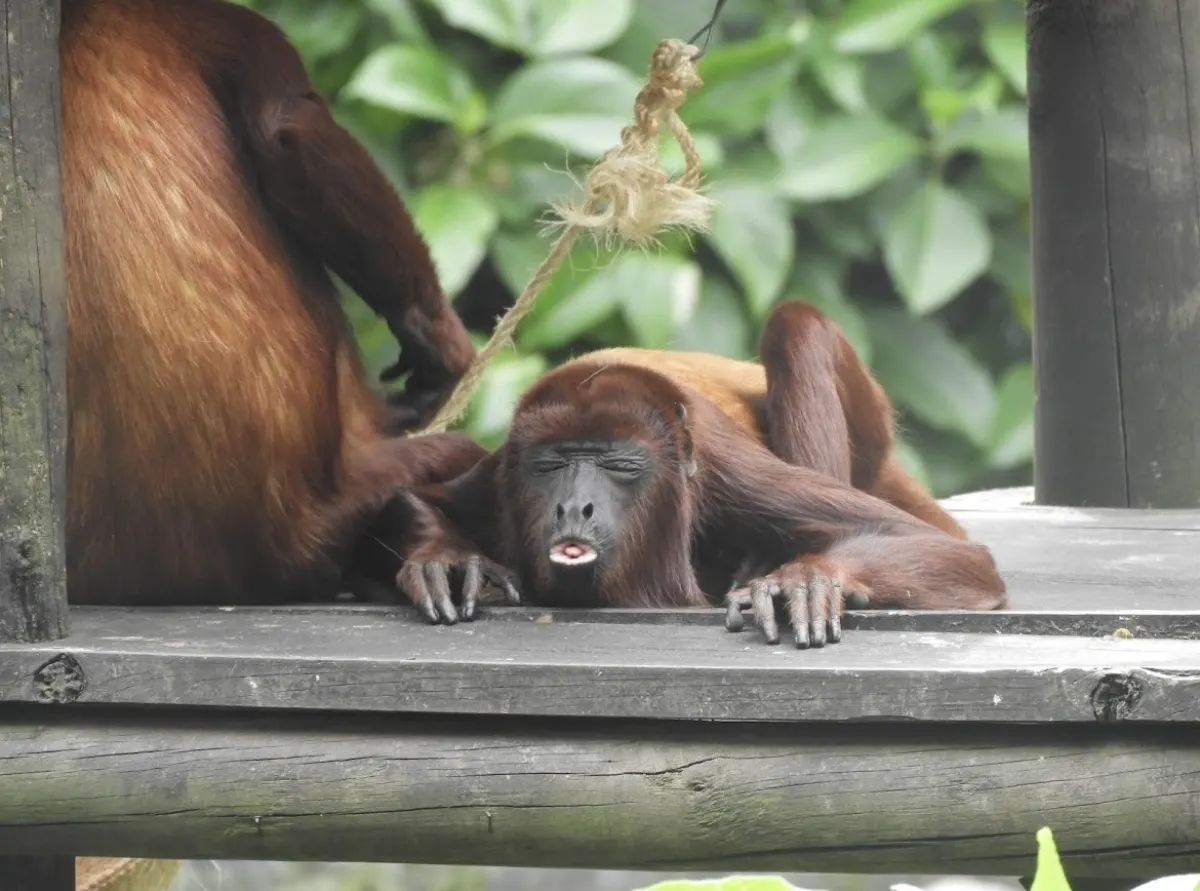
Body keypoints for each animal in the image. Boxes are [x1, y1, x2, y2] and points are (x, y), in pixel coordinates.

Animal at [380, 300, 1007, 648]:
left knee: (795, 327)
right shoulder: (502, 477)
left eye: (619, 465)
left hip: (869, 438)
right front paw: (446, 562)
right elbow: (414, 497)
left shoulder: (726, 471)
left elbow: (932, 546)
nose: (573, 507)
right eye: (551, 465)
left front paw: (807, 578)